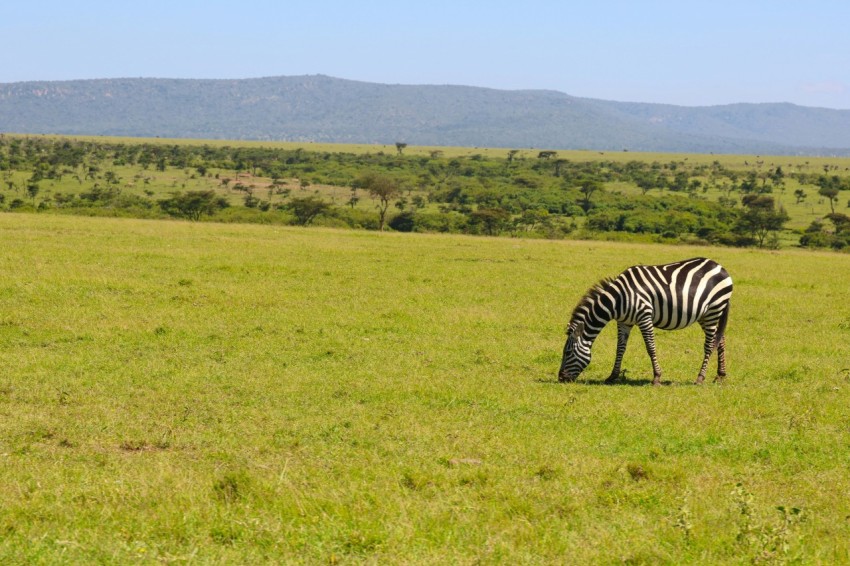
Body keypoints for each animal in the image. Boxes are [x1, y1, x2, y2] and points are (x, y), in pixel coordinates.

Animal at [558, 257, 733, 385]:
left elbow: (650, 347)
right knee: (720, 339)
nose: (561, 378)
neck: (618, 300)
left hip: (713, 311)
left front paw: (657, 377)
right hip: (705, 315)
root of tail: (720, 266)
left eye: (567, 352)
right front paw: (613, 376)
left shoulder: (644, 316)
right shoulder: (624, 322)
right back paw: (720, 375)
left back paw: (700, 378)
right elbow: (620, 349)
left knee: (710, 344)